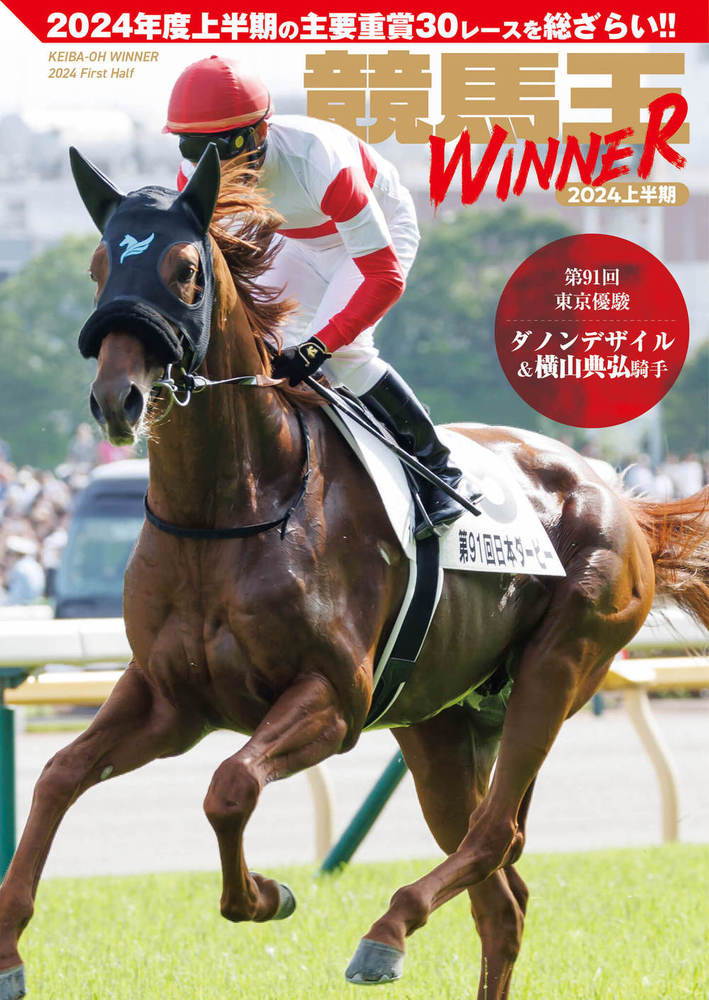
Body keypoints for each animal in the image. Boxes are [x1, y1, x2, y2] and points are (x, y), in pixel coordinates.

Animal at [1, 145, 707, 1000]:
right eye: (100, 265)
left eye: (185, 270)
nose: (118, 398)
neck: (230, 507)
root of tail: (620, 499)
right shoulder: (170, 700)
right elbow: (58, 775)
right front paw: (8, 950)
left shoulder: (333, 700)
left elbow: (229, 786)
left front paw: (265, 894)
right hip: (438, 722)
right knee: (500, 894)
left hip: (558, 665)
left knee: (493, 836)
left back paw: (385, 931)